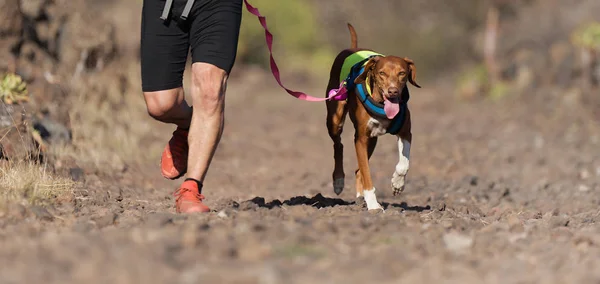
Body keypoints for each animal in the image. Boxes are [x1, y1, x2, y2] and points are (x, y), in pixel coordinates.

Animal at [326, 23, 420, 211]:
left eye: (402, 73)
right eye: (382, 73)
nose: (393, 91)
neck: (382, 105)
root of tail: (353, 47)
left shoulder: (405, 133)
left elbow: (404, 163)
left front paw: (397, 183)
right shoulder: (360, 138)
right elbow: (367, 173)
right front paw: (374, 205)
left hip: (373, 139)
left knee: (357, 170)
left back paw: (359, 197)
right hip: (335, 118)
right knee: (338, 145)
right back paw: (338, 181)